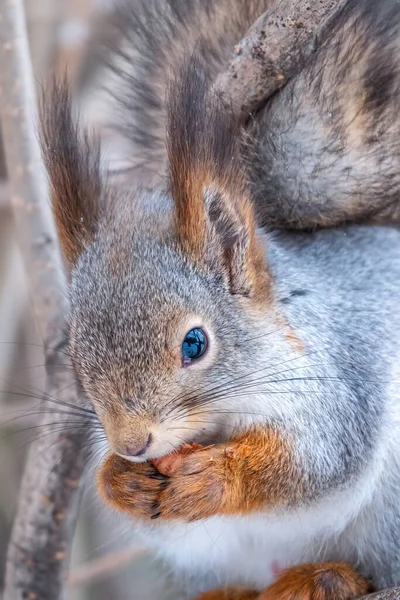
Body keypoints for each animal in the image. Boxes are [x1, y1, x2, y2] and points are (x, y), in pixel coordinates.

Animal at [39, 1, 400, 600]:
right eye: (72, 356)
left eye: (195, 343)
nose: (133, 443)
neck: (215, 423)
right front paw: (119, 480)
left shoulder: (338, 384)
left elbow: (312, 462)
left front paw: (217, 476)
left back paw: (325, 577)